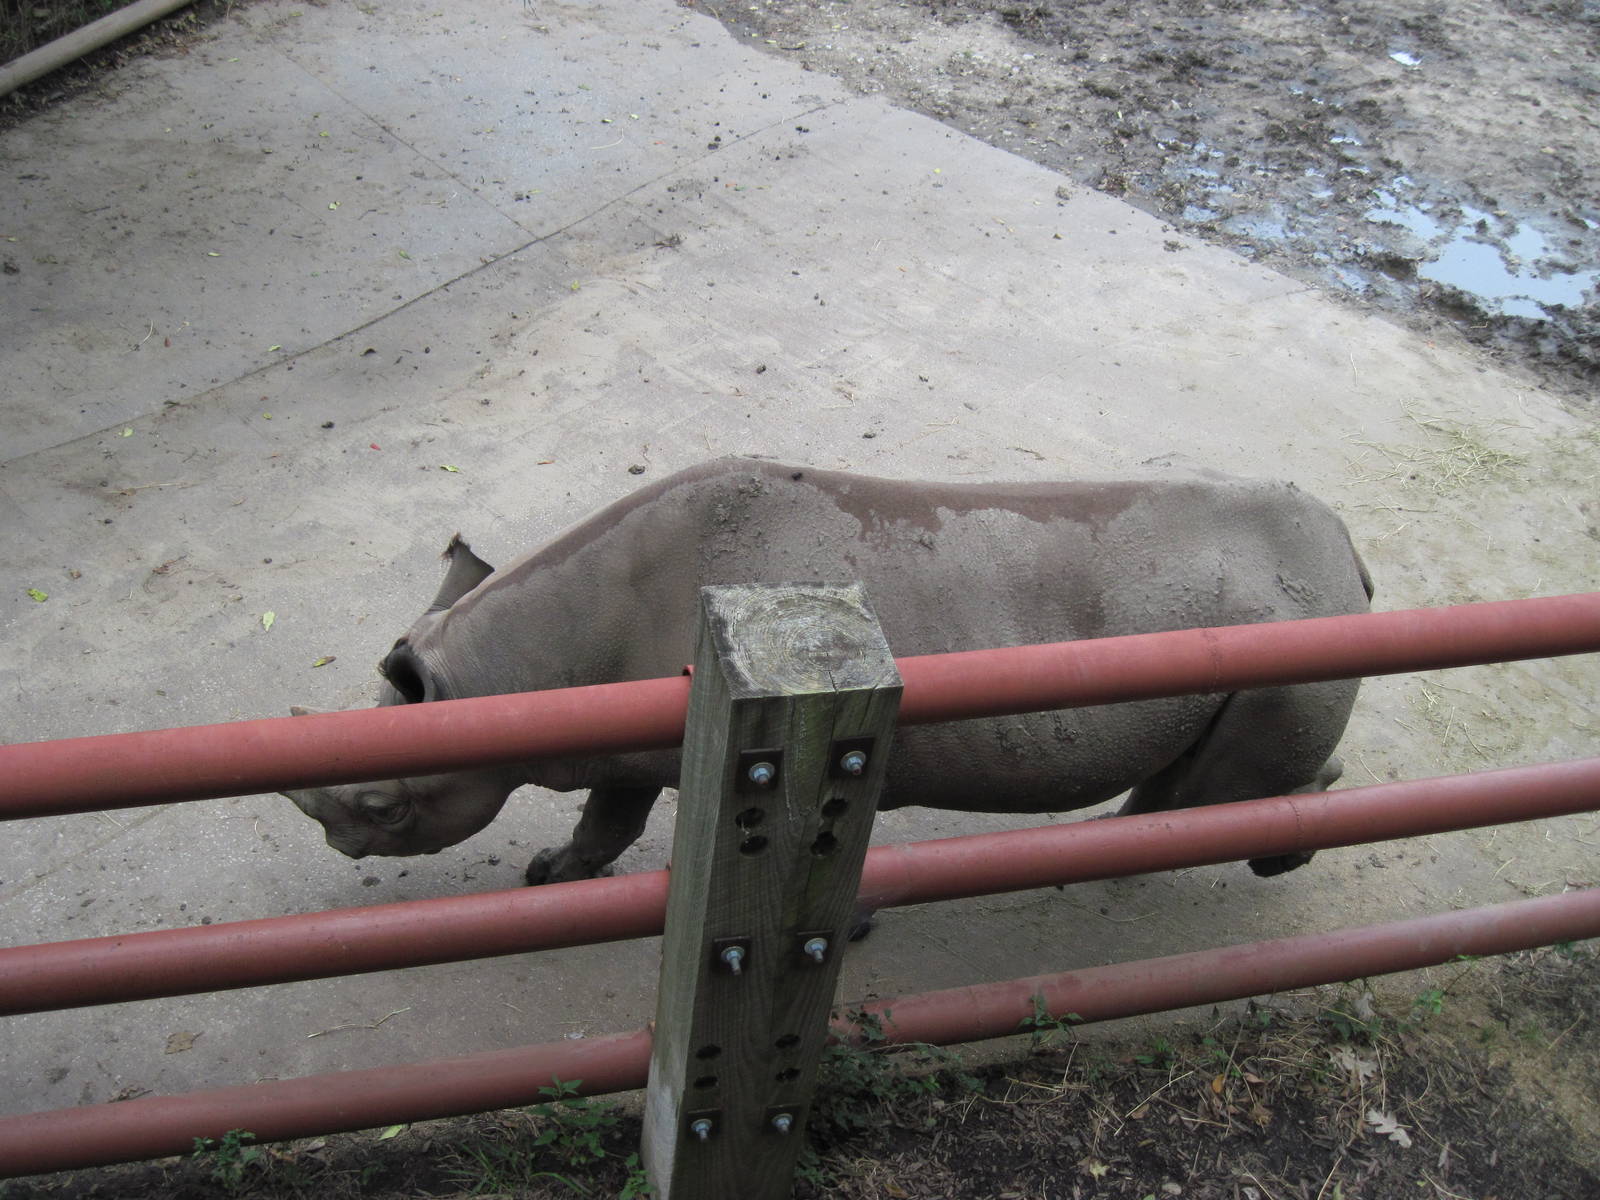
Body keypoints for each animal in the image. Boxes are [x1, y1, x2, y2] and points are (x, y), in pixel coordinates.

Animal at [284, 457, 1373, 883]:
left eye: (380, 807)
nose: (338, 844)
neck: (507, 678)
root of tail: (1347, 555)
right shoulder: (634, 741)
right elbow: (608, 817)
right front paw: (554, 874)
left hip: (1286, 639)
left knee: (1233, 784)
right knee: (1190, 784)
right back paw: (1118, 848)